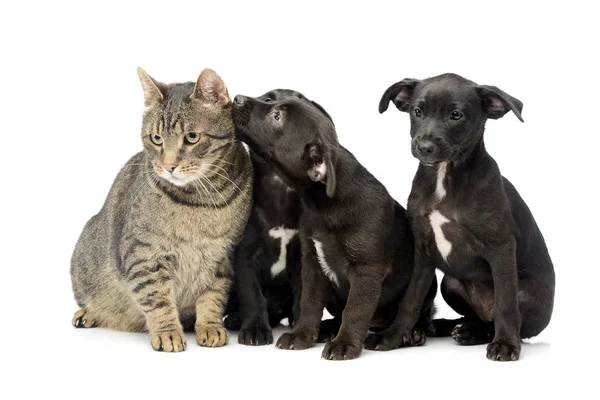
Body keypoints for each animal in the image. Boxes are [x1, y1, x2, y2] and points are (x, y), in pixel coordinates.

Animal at [71, 67, 253, 352]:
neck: (202, 201)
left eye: (191, 137)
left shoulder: (224, 256)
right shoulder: (143, 253)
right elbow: (156, 298)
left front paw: (210, 326)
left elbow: (213, 296)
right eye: (156, 139)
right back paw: (88, 314)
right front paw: (168, 332)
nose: (169, 166)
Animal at [378, 73, 556, 360]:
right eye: (417, 111)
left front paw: (506, 344)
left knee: (499, 317)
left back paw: (478, 333)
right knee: (475, 316)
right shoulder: (422, 250)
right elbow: (411, 298)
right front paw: (393, 335)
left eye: (456, 115)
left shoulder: (501, 248)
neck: (444, 177)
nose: (424, 147)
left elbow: (505, 304)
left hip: (527, 292)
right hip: (450, 283)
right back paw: (447, 326)